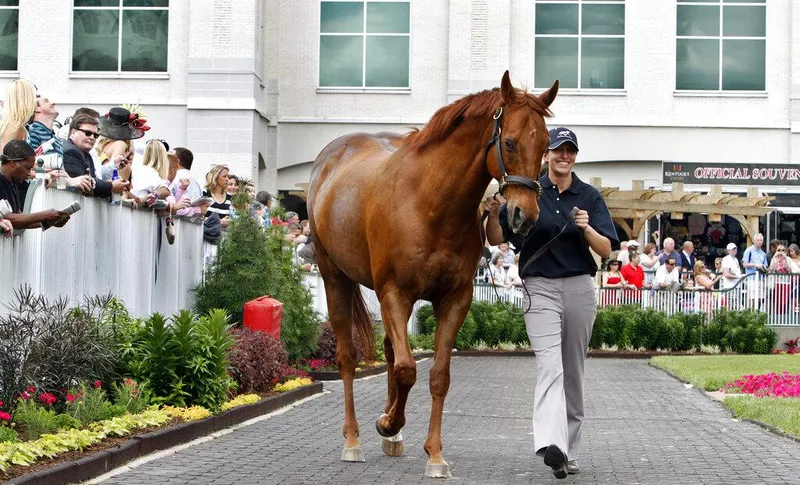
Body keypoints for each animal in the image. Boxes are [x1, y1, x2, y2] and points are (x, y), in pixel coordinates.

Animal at [310, 72, 560, 476]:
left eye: (544, 147)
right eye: (509, 141)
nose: (524, 216)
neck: (430, 203)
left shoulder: (454, 299)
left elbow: (437, 375)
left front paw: (434, 453)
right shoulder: (394, 293)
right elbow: (407, 369)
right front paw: (388, 423)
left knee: (389, 350)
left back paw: (392, 436)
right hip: (335, 278)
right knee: (348, 355)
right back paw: (353, 439)